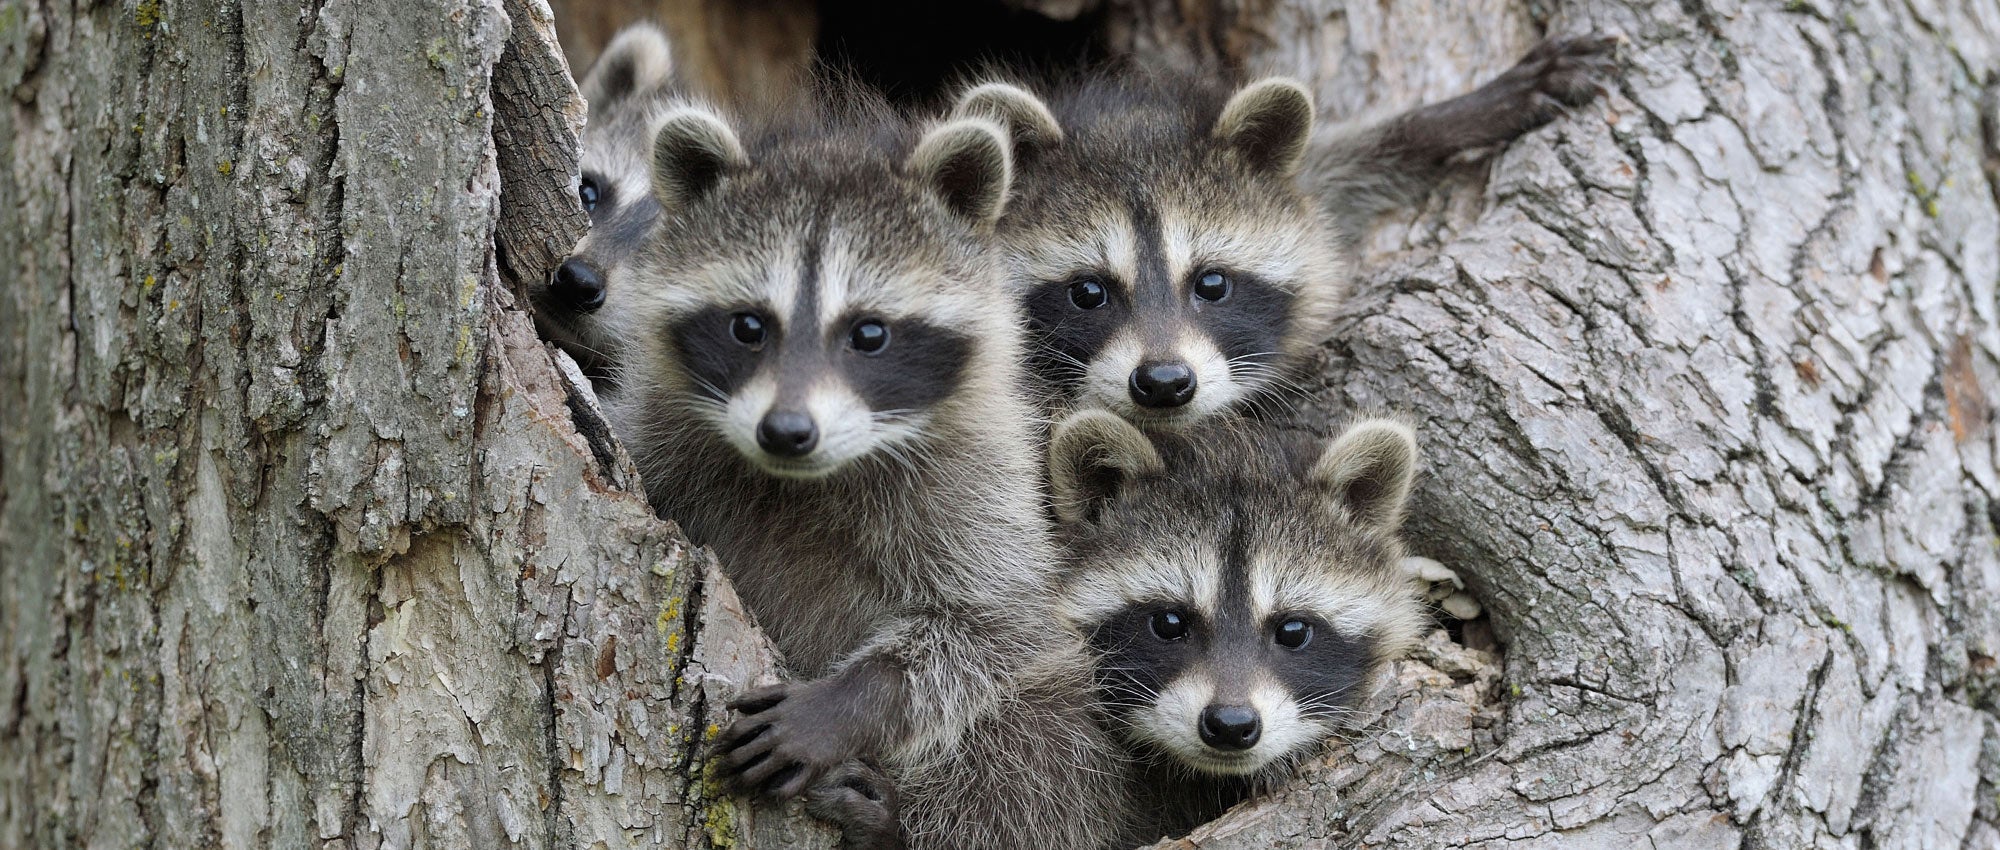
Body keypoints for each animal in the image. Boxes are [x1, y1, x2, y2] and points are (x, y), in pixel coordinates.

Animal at [607, 90, 1129, 850]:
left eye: (870, 333)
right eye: (748, 325)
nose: (787, 431)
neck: (806, 477)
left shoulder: (979, 479)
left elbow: (994, 626)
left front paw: (842, 704)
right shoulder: (662, 430)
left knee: (1032, 749)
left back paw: (898, 821)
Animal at [954, 35, 1616, 428]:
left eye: (1212, 283)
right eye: (1089, 292)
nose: (1165, 383)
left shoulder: (1306, 190)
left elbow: (1347, 165)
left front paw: (1453, 117)